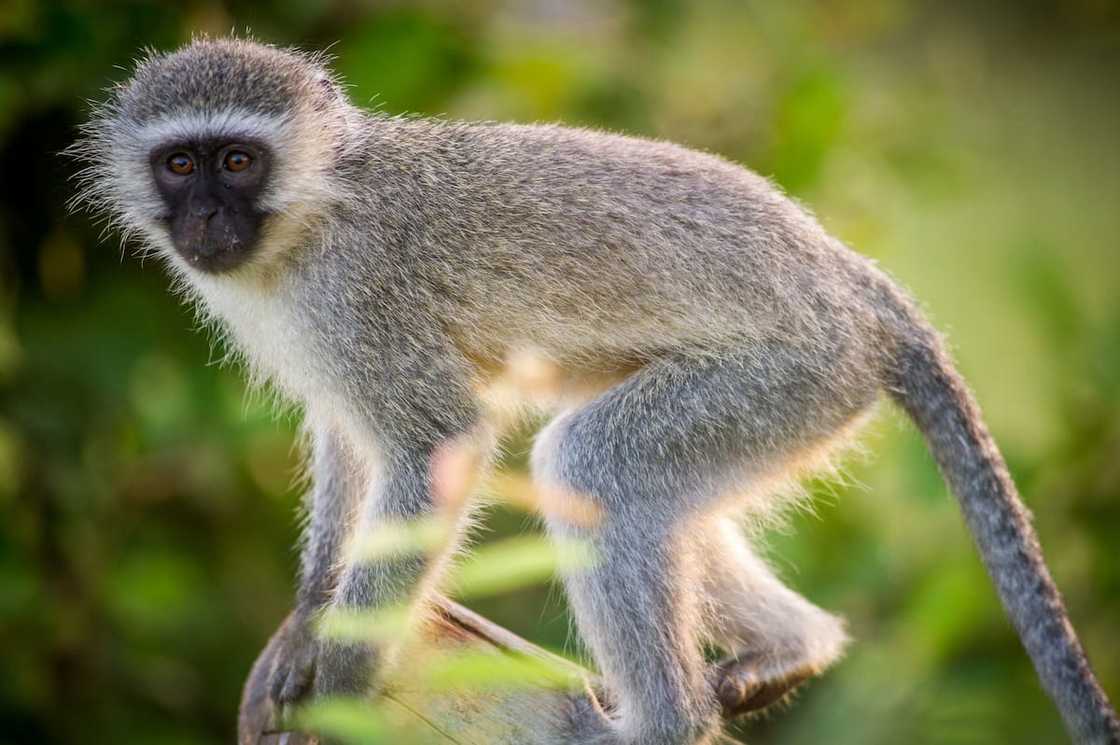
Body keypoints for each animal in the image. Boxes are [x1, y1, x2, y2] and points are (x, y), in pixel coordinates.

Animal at [74, 39, 1115, 743]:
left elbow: (437, 443)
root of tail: (856, 283)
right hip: (798, 397)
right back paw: (795, 646)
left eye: (237, 159)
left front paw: (343, 665)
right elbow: (347, 446)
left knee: (591, 462)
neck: (308, 221)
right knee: (645, 493)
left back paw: (663, 721)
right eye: (180, 163)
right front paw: (305, 622)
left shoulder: (363, 294)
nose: (206, 220)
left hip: (794, 371)